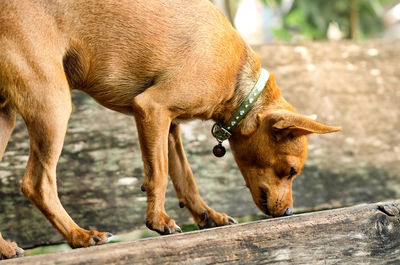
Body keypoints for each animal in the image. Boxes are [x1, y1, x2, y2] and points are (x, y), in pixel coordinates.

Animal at [0, 0, 340, 256]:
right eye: (291, 171)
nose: (289, 213)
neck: (237, 84)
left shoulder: (170, 126)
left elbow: (184, 176)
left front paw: (207, 215)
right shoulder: (152, 109)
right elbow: (160, 174)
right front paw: (158, 220)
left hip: (6, 116)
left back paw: (6, 248)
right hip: (53, 105)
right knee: (37, 183)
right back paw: (79, 235)